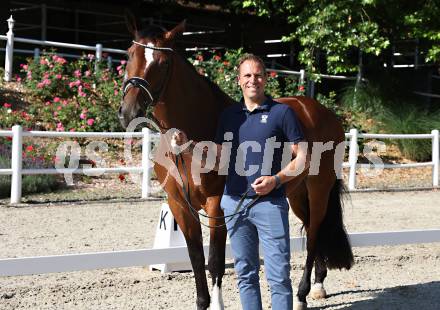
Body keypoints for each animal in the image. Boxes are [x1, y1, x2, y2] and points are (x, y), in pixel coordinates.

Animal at [117, 19, 354, 310]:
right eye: (130, 54)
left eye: (162, 62)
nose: (128, 111)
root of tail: (321, 111)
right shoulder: (179, 205)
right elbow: (196, 260)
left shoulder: (217, 205)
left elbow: (215, 262)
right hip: (297, 193)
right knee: (312, 228)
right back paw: (318, 285)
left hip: (319, 188)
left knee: (314, 234)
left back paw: (302, 295)